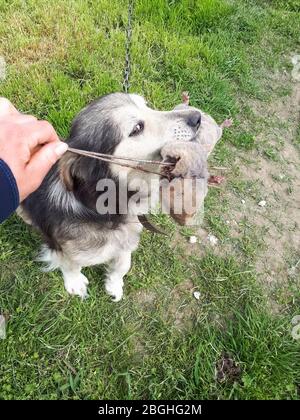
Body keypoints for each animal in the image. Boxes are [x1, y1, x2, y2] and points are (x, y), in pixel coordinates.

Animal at [17, 93, 210, 300]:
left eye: (148, 106)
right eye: (137, 128)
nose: (197, 117)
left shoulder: (126, 239)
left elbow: (124, 263)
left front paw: (114, 284)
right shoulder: (61, 245)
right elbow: (70, 264)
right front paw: (75, 283)